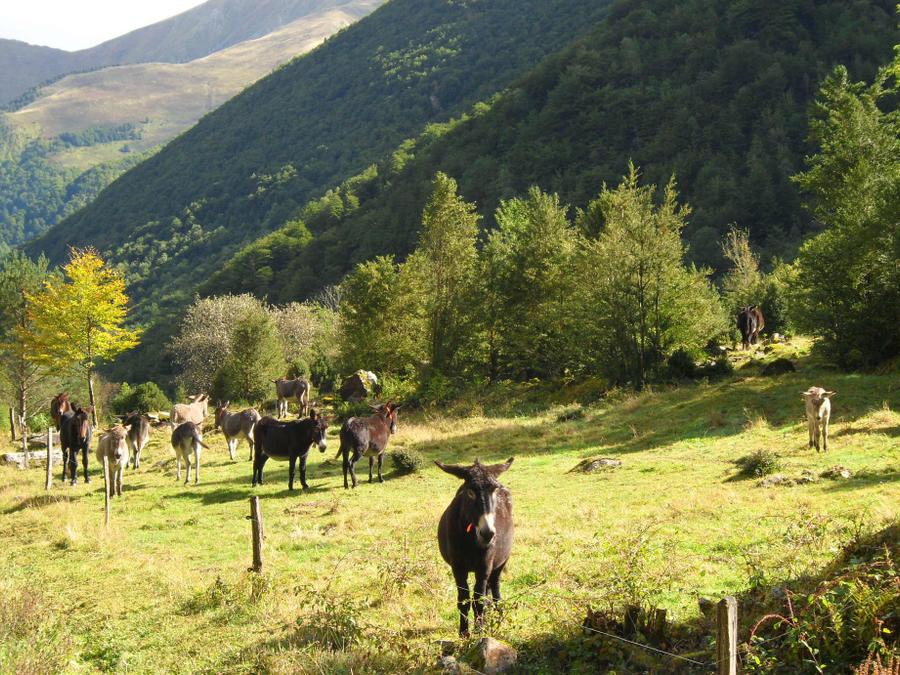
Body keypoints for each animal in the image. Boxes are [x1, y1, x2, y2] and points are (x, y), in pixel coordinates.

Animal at [436, 458, 515, 636]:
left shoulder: (484, 567)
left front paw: (479, 632)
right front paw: (464, 633)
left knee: (495, 587)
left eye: (494, 491)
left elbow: (478, 601)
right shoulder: (458, 568)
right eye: (470, 492)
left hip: (501, 562)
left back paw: (498, 617)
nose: (488, 534)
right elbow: (464, 600)